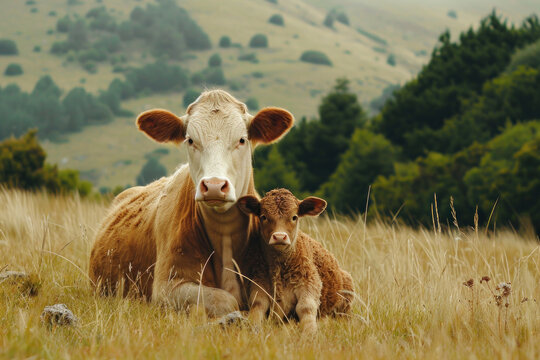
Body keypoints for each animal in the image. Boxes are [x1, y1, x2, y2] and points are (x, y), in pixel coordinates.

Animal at [236, 190, 354, 334]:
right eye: (263, 217)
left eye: (294, 217)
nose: (279, 236)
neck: (280, 270)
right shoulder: (259, 283)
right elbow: (258, 305)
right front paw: (253, 327)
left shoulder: (309, 283)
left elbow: (305, 307)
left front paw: (310, 332)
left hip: (345, 305)